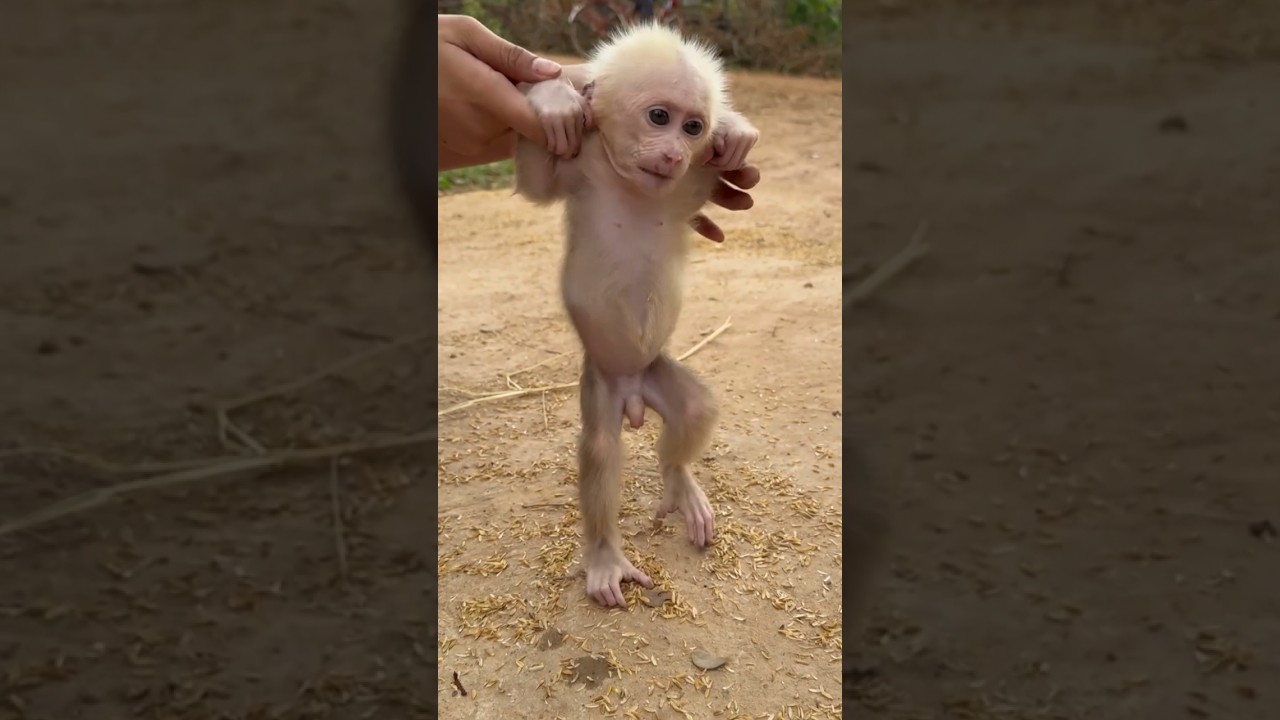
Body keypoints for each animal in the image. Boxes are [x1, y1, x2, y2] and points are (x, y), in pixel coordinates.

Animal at [512, 23, 759, 607]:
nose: (672, 153)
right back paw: (606, 558)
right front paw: (552, 96)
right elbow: (534, 179)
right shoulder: (575, 170)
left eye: (693, 127)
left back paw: (679, 479)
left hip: (657, 371)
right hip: (602, 381)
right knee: (601, 448)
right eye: (659, 117)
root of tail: (633, 395)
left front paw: (735, 129)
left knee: (695, 410)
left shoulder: (690, 183)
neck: (631, 183)